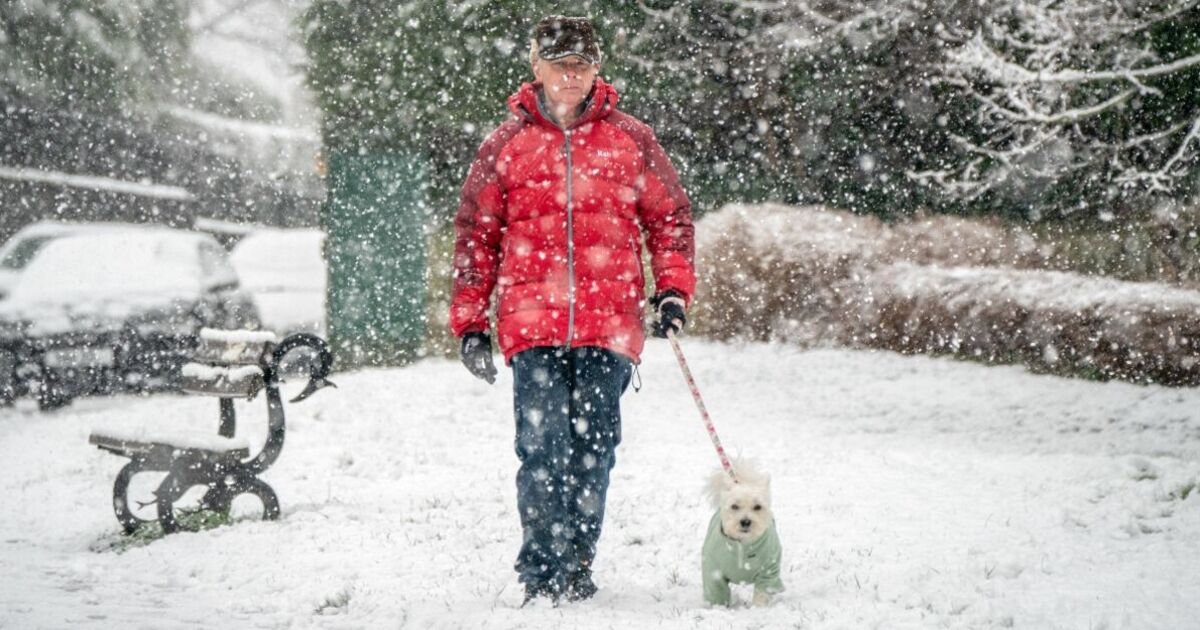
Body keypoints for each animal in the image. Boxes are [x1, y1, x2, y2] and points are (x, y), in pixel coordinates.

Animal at [700, 460, 782, 604]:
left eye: (758, 506)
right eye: (734, 506)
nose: (745, 521)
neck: (742, 545)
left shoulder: (768, 570)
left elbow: (761, 593)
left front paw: (758, 607)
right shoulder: (713, 572)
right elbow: (717, 592)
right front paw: (718, 607)